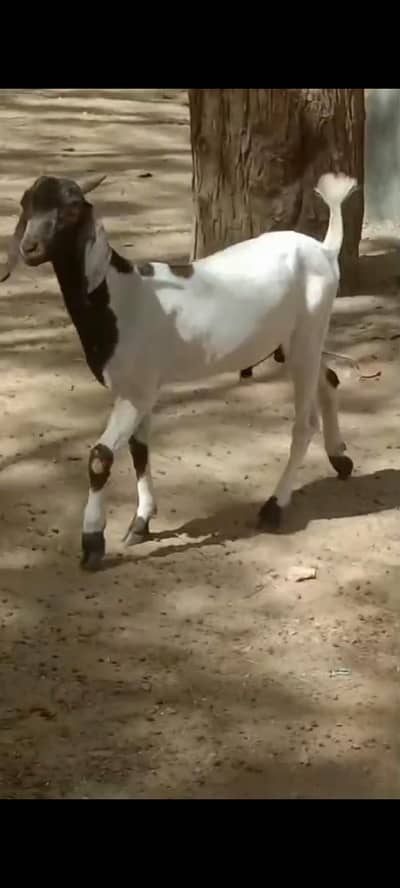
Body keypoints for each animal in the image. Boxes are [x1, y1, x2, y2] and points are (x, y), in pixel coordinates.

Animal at [0, 171, 356, 570]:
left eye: (73, 209)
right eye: (26, 203)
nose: (30, 247)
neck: (118, 297)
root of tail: (324, 249)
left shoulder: (137, 389)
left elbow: (100, 457)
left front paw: (92, 543)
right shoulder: (138, 389)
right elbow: (139, 448)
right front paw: (140, 522)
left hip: (309, 328)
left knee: (304, 423)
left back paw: (273, 508)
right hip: (297, 339)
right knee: (329, 379)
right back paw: (340, 458)